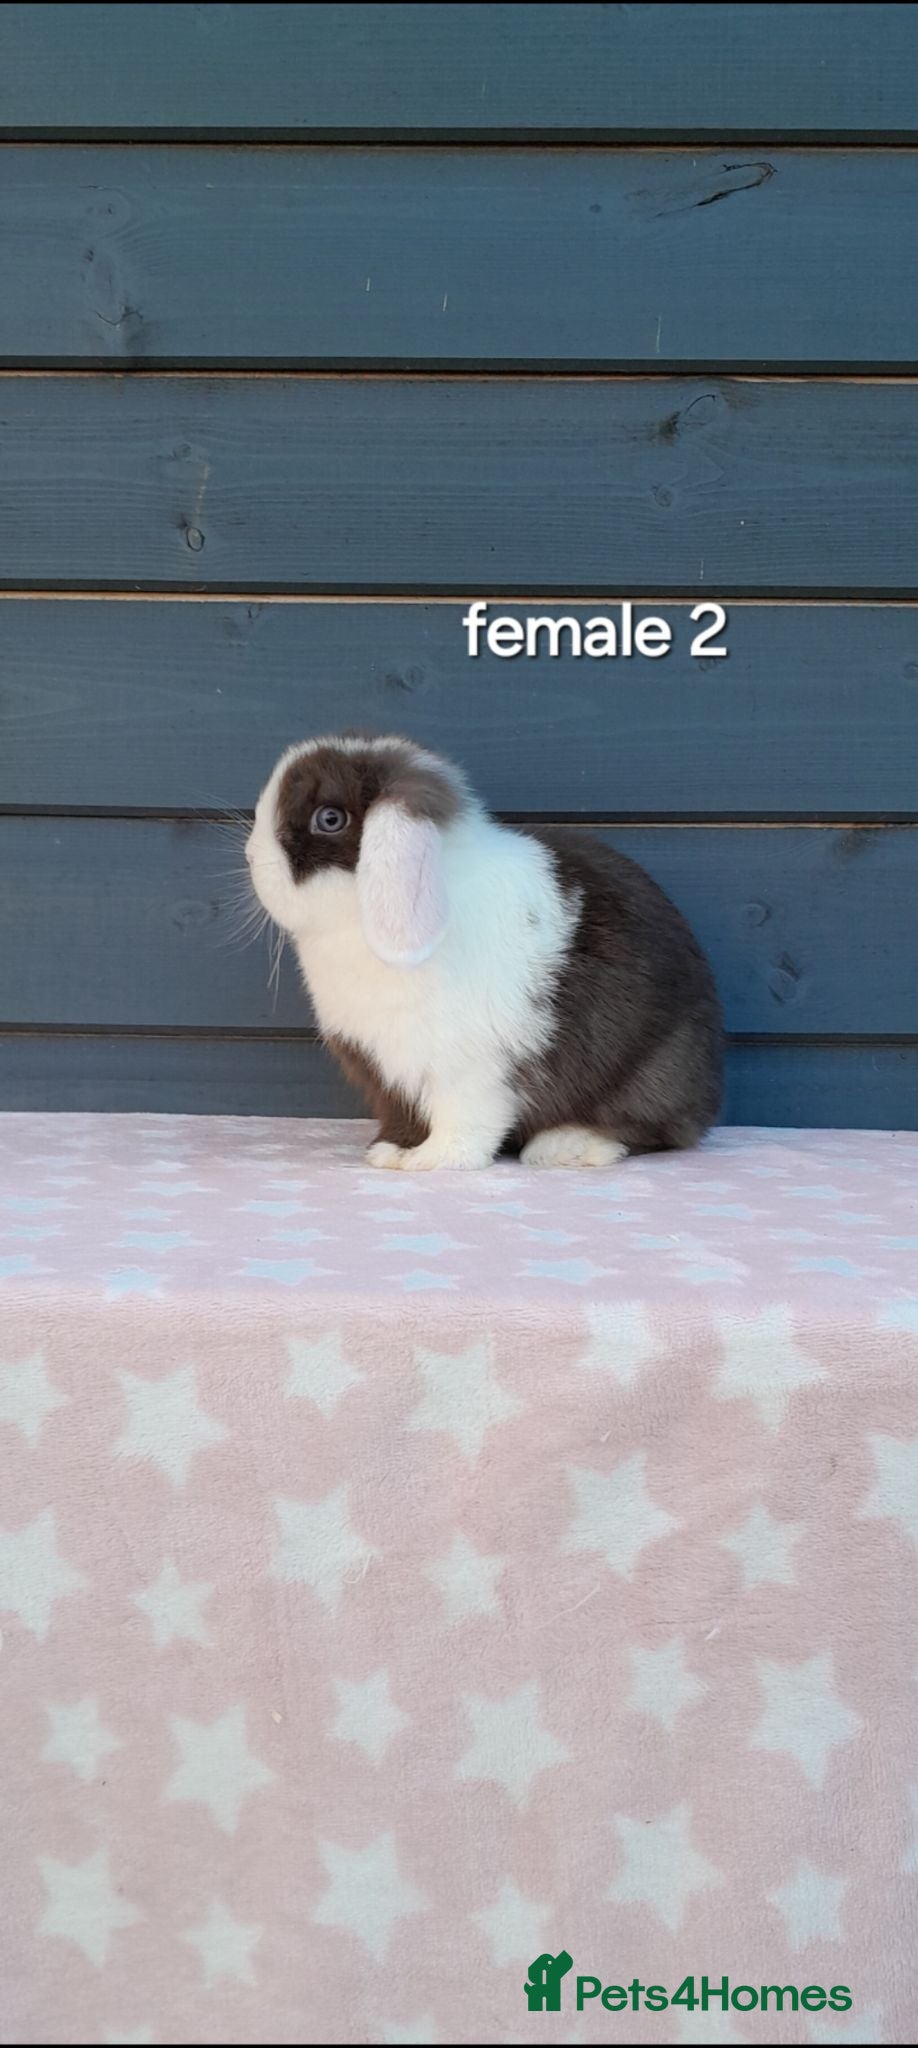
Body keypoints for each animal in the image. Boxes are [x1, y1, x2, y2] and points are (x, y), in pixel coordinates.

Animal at [246, 732, 723, 1170]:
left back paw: (567, 1144)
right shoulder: (388, 1074)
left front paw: (433, 1160)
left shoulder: (470, 1071)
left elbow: (467, 1123)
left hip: (651, 1074)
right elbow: (404, 1116)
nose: (251, 857)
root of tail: (708, 1089)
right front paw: (392, 1152)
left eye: (329, 818)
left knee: (654, 1129)